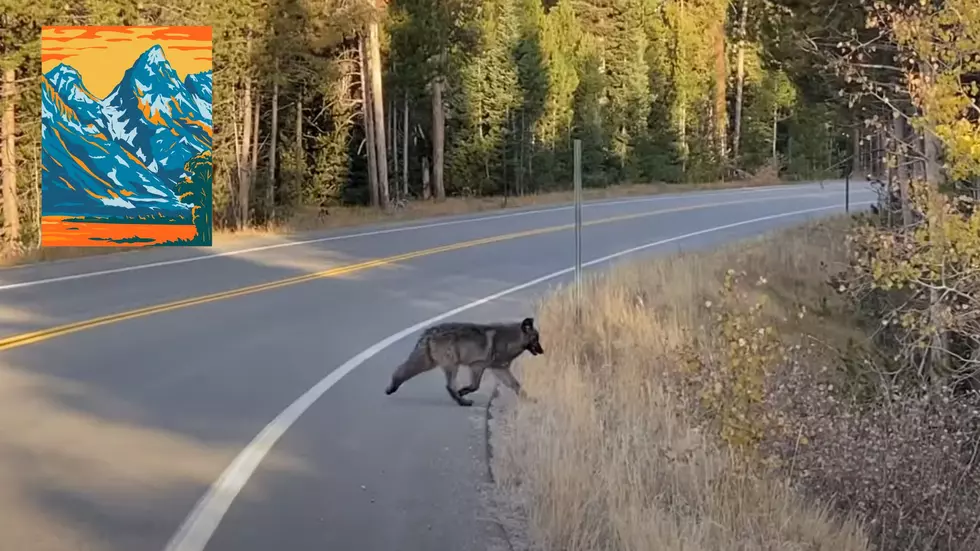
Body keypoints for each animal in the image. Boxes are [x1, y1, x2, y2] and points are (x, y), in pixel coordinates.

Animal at [382, 320, 544, 406]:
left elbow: (517, 386)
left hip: (428, 362)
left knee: (401, 370)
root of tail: (429, 332)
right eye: (536, 339)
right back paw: (461, 401)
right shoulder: (477, 366)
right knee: (449, 386)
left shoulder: (499, 369)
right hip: (451, 365)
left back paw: (392, 387)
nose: (543, 351)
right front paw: (462, 391)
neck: (510, 339)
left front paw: (529, 400)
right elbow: (474, 386)